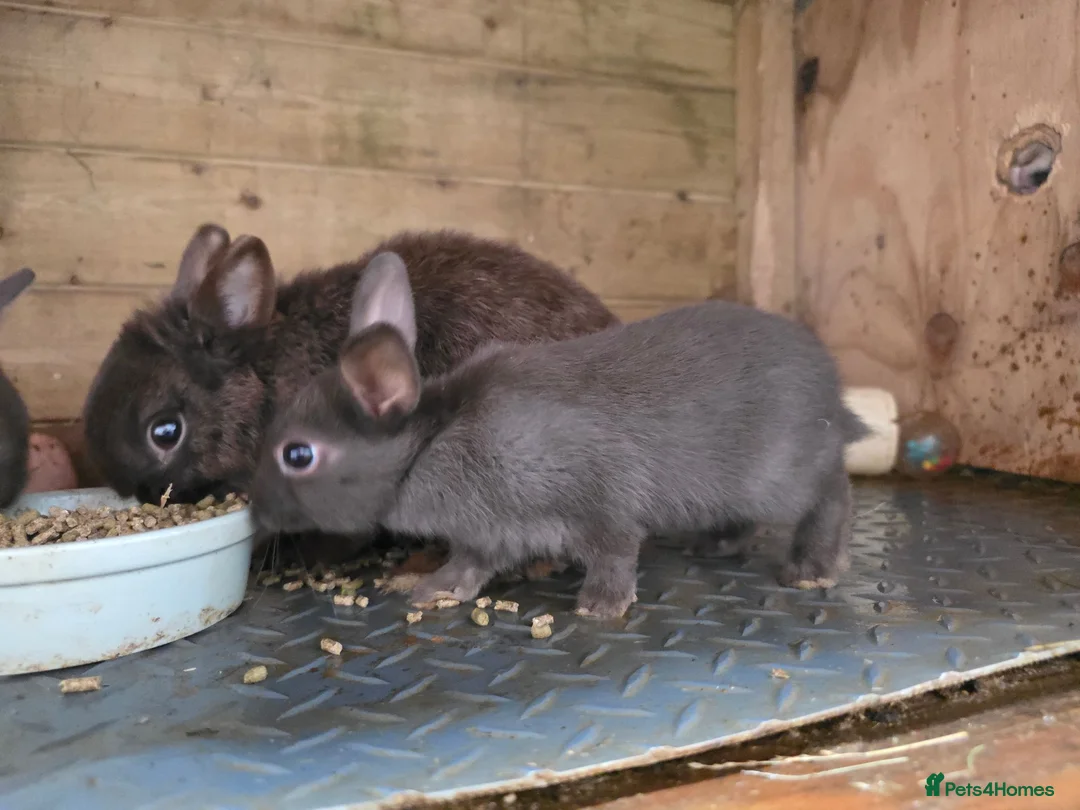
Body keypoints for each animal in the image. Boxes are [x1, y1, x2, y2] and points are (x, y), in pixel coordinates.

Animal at [248, 252, 870, 619]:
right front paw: (436, 589)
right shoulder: (489, 531)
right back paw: (714, 544)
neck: (429, 443)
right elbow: (471, 563)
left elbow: (615, 550)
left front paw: (601, 606)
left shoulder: (596, 499)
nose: (256, 512)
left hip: (784, 473)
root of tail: (831, 393)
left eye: (297, 454)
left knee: (833, 494)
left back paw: (813, 566)